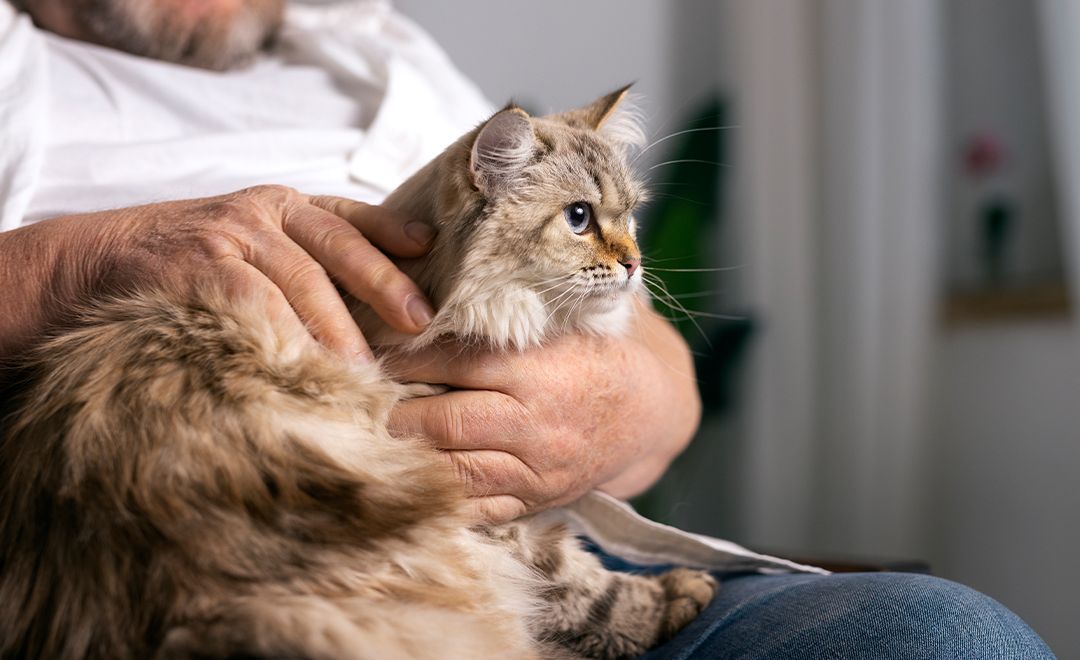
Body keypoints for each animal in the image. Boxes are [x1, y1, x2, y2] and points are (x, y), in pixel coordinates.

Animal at [0, 88, 717, 660]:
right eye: (579, 218)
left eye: (631, 216)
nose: (634, 264)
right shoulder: (483, 511)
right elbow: (585, 583)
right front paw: (679, 592)